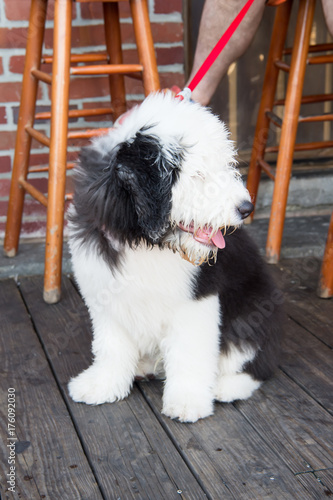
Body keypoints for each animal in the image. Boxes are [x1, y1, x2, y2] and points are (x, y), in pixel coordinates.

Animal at [68, 91, 282, 422]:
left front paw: (187, 401)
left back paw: (226, 387)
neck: (147, 242)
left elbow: (190, 353)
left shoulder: (196, 300)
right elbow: (110, 345)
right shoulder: (105, 292)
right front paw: (102, 384)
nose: (246, 208)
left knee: (257, 362)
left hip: (254, 310)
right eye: (198, 175)